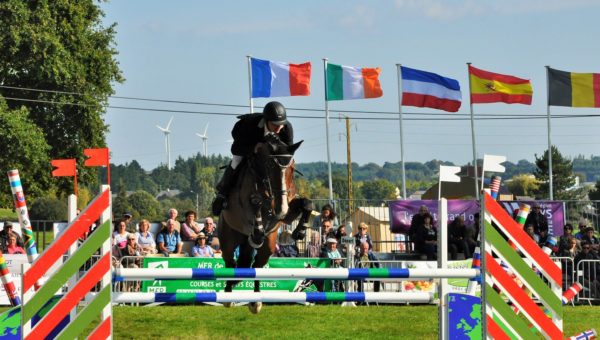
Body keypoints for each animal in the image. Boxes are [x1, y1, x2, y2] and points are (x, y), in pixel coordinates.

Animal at [220, 137, 314, 312]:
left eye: (292, 167)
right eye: (271, 166)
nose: (280, 208)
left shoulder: (286, 213)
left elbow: (307, 203)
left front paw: (300, 231)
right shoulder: (247, 204)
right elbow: (255, 203)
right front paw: (257, 232)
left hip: (268, 246)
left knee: (257, 265)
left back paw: (255, 301)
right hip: (228, 238)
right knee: (230, 262)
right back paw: (228, 296)